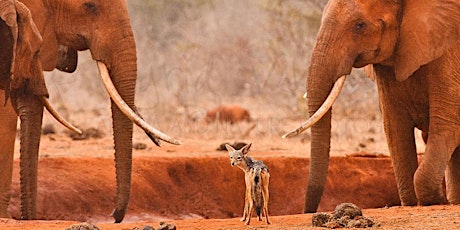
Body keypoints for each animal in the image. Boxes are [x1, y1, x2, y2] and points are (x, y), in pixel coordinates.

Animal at [284, 0, 460, 213]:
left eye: (360, 26)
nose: (309, 211)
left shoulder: (450, 57)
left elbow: (446, 126)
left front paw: (438, 201)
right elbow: (395, 129)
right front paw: (415, 202)